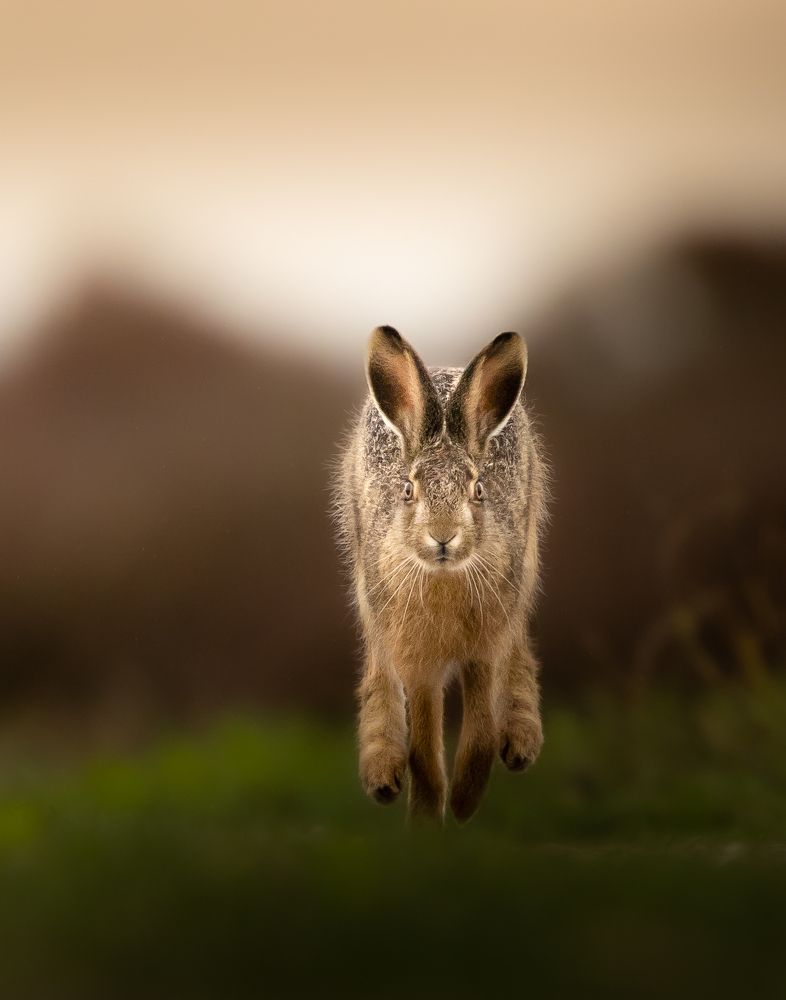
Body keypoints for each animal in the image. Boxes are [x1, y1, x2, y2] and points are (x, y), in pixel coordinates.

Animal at [334, 326, 548, 822]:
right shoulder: (417, 662)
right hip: (366, 586)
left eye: (479, 489)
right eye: (407, 490)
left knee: (519, 648)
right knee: (377, 667)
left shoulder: (484, 649)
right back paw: (382, 773)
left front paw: (465, 804)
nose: (443, 537)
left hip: (525, 564)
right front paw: (427, 820)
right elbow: (425, 749)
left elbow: (481, 734)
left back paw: (521, 742)